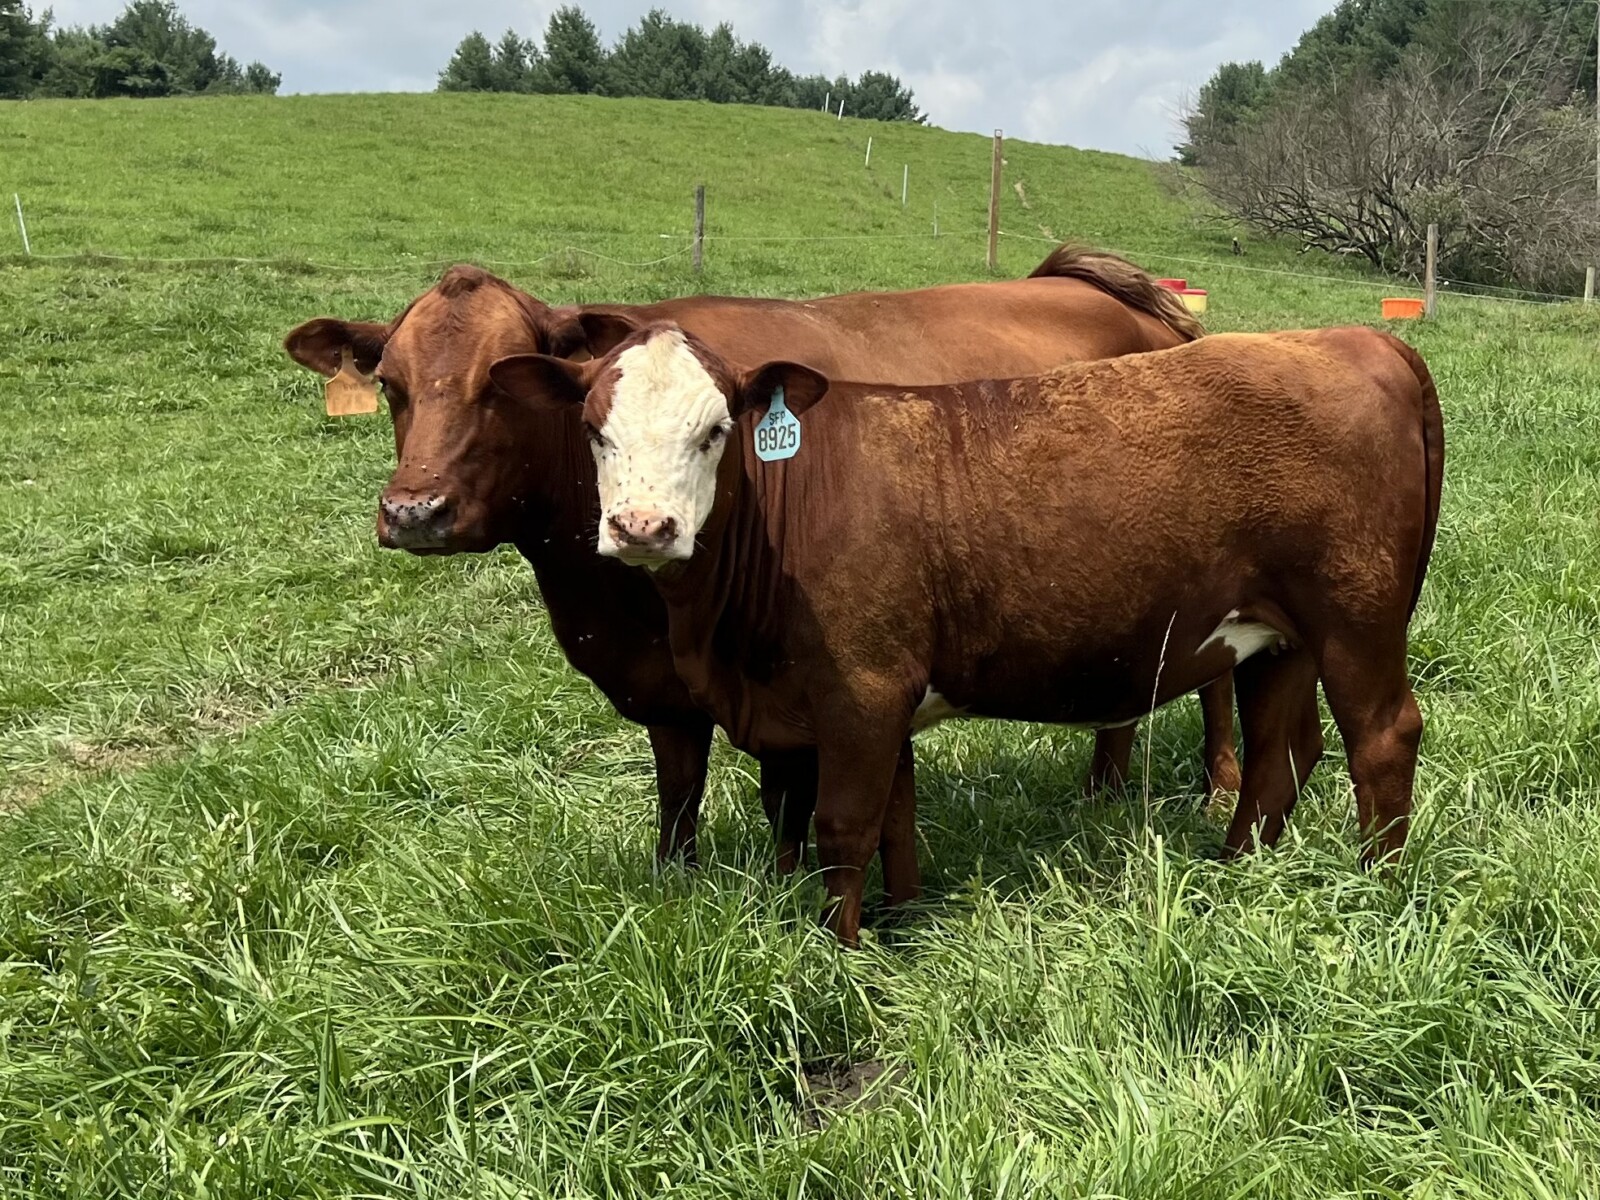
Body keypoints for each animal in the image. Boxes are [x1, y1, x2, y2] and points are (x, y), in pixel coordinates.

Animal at [282, 248, 1236, 899]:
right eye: (393, 384)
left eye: (499, 384)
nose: (415, 512)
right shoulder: (669, 689)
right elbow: (680, 797)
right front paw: (676, 890)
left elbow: (792, 800)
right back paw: (1104, 790)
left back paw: (1217, 785)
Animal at [489, 323, 1444, 944]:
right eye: (594, 431)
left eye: (716, 428)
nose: (642, 527)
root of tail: (1357, 339)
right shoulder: (857, 702)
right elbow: (892, 820)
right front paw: (903, 921)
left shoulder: (862, 690)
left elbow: (844, 827)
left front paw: (840, 954)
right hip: (1274, 634)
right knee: (1280, 753)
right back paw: (1234, 876)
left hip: (1356, 619)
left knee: (1381, 738)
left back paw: (1377, 892)